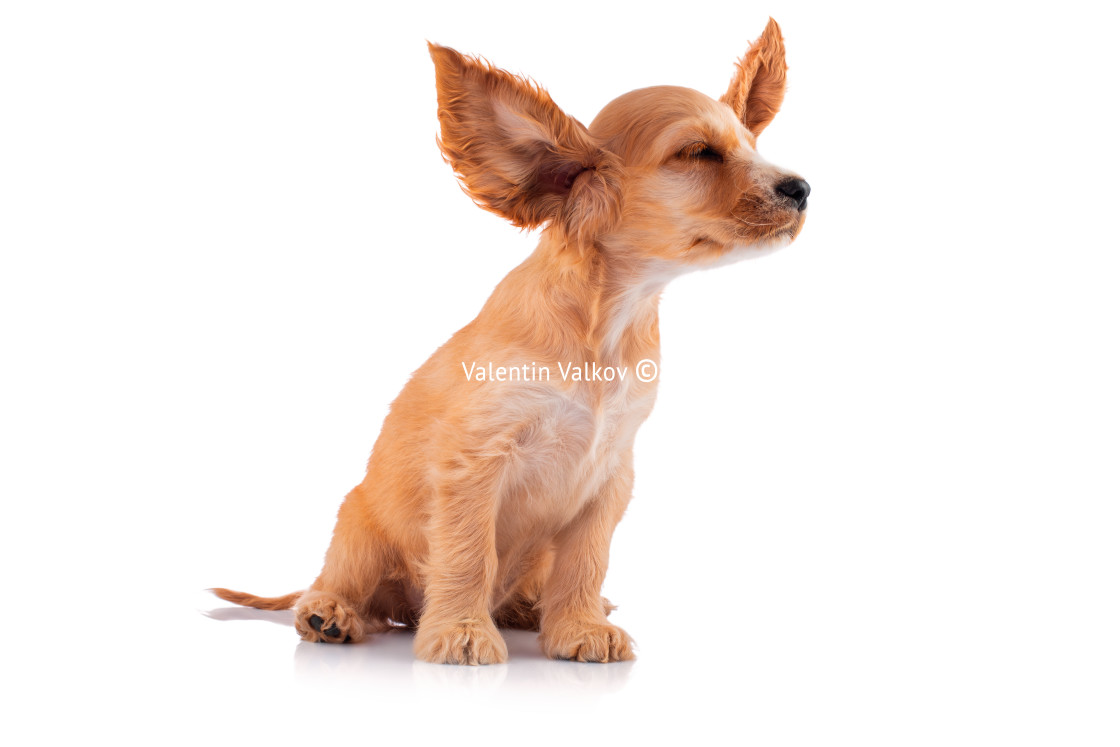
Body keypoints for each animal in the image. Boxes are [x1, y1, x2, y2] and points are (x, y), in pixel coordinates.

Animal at [213, 17, 810, 663]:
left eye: (751, 145)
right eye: (697, 153)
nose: (801, 188)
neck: (607, 324)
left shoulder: (610, 475)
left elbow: (586, 560)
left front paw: (579, 626)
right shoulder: (475, 461)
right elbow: (469, 554)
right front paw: (463, 632)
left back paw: (530, 608)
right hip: (359, 529)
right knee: (343, 587)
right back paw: (329, 614)